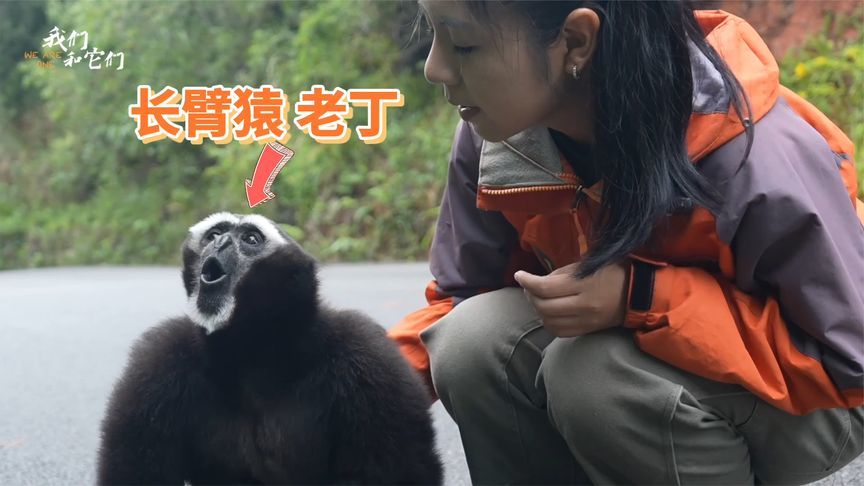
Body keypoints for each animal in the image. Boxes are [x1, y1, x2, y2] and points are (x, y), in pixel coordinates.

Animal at [97, 212, 442, 484]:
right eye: (215, 234)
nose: (220, 244)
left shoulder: (367, 355)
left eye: (250, 239)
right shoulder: (159, 359)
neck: (254, 354)